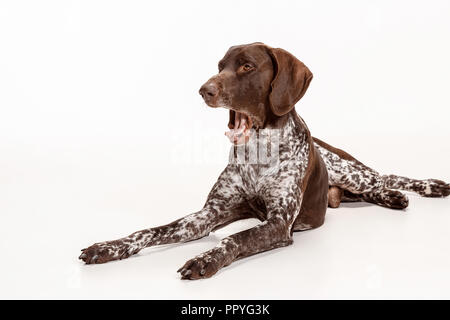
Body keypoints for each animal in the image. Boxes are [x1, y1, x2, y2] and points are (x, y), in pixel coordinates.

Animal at [79, 43, 448, 280]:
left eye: (247, 66)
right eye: (220, 67)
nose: (204, 90)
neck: (257, 151)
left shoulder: (279, 223)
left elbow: (234, 239)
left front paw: (205, 259)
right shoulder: (207, 215)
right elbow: (150, 231)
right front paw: (109, 247)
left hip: (351, 171)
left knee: (386, 176)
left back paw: (423, 187)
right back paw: (394, 199)